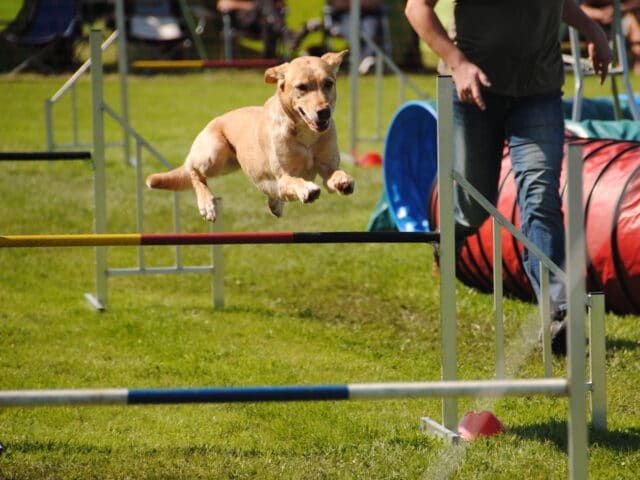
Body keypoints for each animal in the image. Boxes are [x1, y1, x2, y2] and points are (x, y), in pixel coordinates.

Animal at [147, 49, 352, 222]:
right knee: (193, 171)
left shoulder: (327, 166)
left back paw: (275, 204)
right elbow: (295, 181)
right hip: (214, 156)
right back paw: (207, 204)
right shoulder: (284, 176)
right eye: (301, 87)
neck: (305, 133)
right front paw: (308, 189)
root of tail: (216, 119)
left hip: (229, 163)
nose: (324, 112)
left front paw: (343, 181)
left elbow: (335, 174)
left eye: (328, 83)